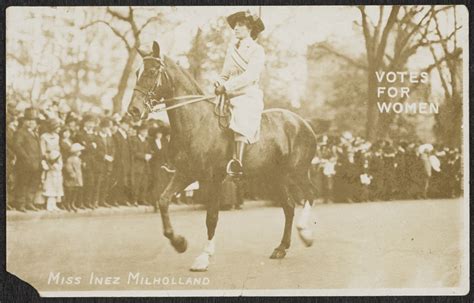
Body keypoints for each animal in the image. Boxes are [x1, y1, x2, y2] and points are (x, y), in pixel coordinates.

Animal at [128, 41, 316, 274]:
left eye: (153, 72)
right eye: (137, 72)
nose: (134, 110)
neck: (197, 121)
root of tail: (303, 123)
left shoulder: (213, 179)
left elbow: (211, 218)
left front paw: (204, 257)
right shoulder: (185, 174)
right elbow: (163, 201)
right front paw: (179, 242)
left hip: (296, 172)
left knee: (309, 195)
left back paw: (305, 233)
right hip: (275, 177)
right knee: (289, 207)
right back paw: (281, 247)